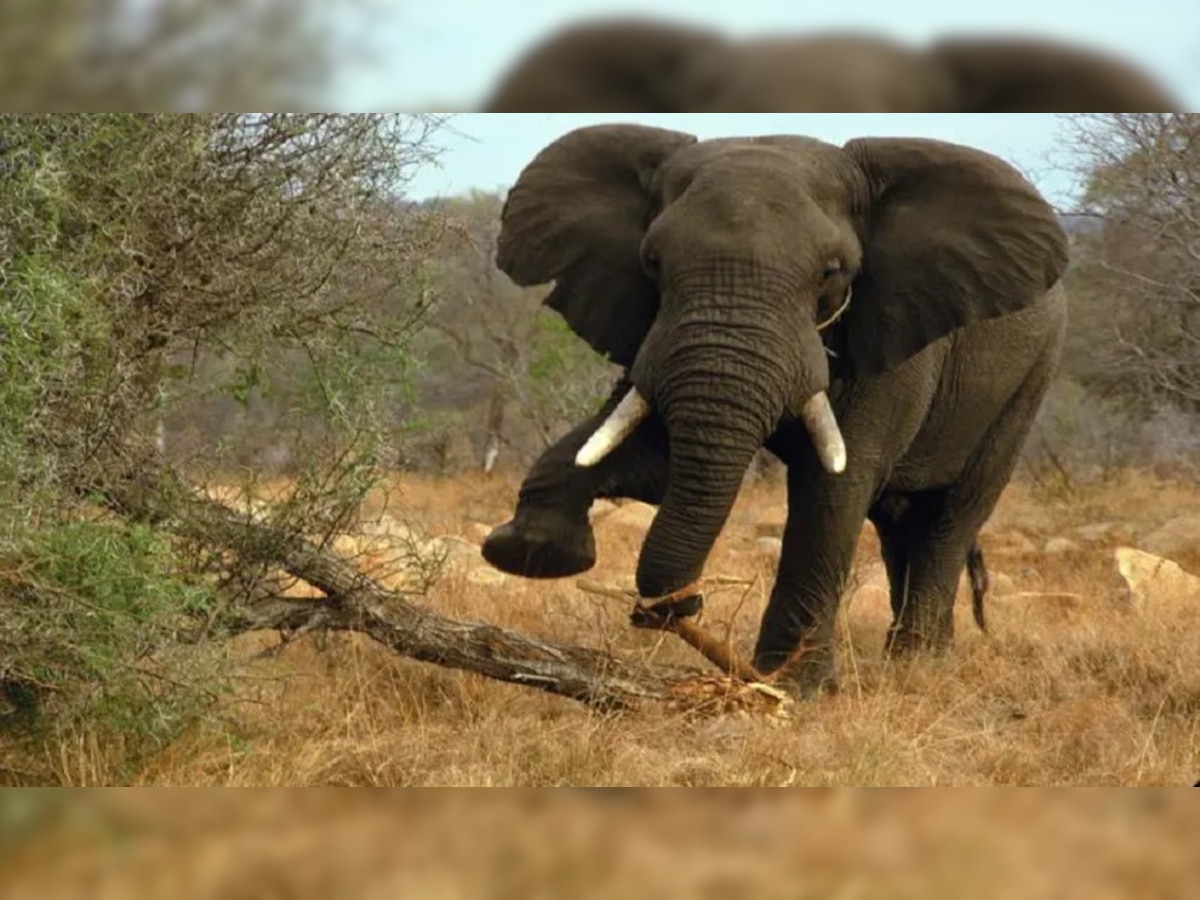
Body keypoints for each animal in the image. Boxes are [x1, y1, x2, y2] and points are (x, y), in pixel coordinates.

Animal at [477, 123, 1070, 696]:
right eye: (651, 263)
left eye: (832, 271)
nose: (675, 609)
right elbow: (644, 453)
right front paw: (532, 552)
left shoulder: (894, 336)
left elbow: (833, 489)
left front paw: (793, 689)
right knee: (899, 523)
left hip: (1031, 378)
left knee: (949, 519)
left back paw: (916, 664)